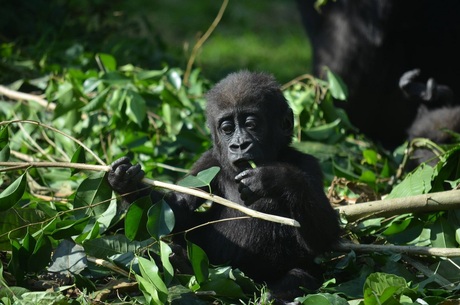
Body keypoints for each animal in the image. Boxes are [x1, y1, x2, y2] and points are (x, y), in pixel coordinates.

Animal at [107, 70, 338, 300]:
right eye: (227, 129)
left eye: (251, 125)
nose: (239, 145)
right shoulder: (208, 162)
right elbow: (179, 208)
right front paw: (126, 183)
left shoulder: (309, 165)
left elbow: (323, 238)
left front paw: (273, 178)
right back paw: (182, 263)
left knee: (300, 276)